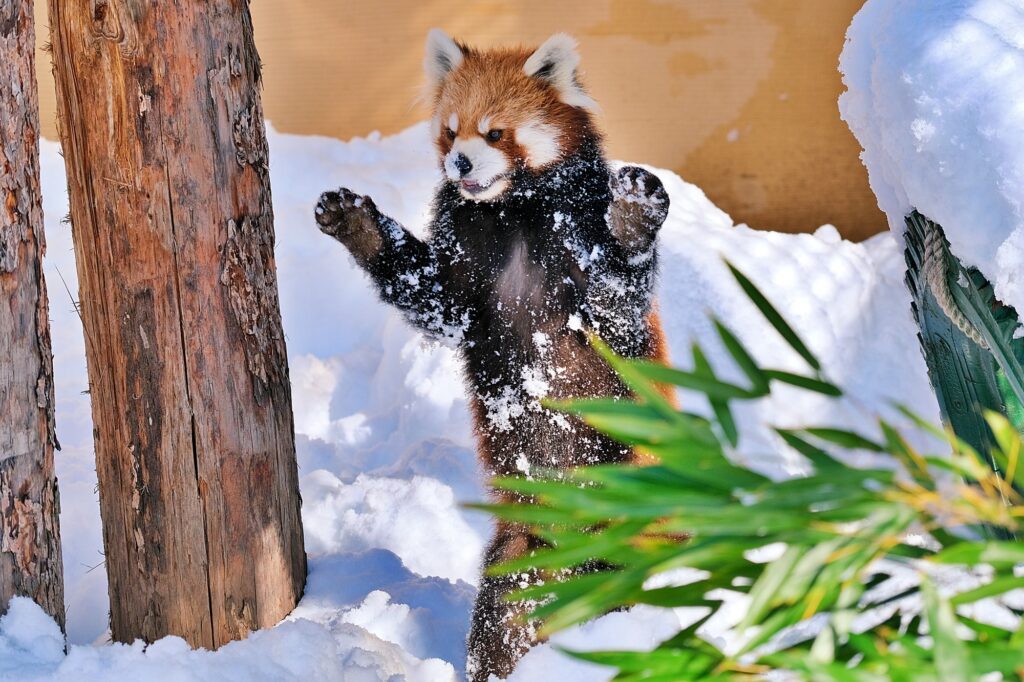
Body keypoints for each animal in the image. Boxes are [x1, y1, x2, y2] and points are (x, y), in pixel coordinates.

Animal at [315, 29, 675, 675]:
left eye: (495, 134)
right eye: (450, 132)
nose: (459, 163)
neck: (513, 213)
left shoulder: (585, 255)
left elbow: (617, 301)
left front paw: (635, 217)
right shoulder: (464, 268)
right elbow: (432, 297)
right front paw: (359, 225)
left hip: (637, 519)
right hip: (519, 553)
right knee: (501, 621)